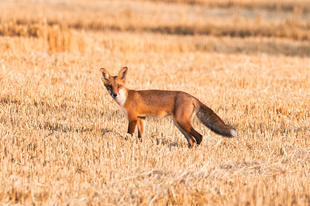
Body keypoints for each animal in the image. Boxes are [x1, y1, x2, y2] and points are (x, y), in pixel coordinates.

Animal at [100, 67, 236, 149]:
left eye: (119, 86)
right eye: (110, 86)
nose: (114, 94)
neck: (125, 98)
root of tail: (191, 96)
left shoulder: (132, 118)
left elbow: (129, 134)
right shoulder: (141, 118)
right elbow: (140, 137)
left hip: (182, 122)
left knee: (199, 136)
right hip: (179, 124)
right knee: (191, 140)